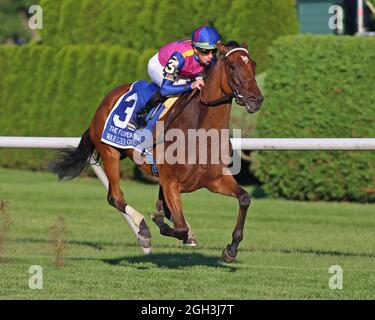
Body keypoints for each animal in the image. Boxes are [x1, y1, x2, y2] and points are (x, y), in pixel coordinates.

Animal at [50, 42, 264, 262]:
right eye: (232, 66)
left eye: (253, 64)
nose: (256, 99)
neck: (200, 133)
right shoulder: (171, 182)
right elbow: (178, 227)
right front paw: (158, 224)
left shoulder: (214, 179)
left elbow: (245, 198)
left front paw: (231, 249)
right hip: (110, 153)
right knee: (115, 197)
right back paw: (143, 231)